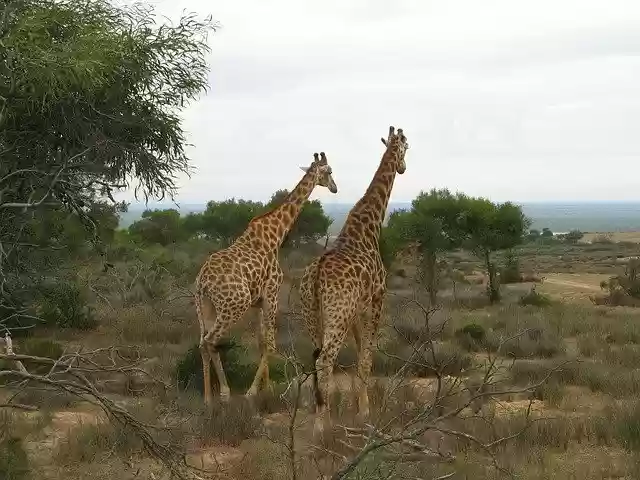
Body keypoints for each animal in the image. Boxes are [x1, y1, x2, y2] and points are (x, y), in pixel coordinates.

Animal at [195, 152, 338, 406]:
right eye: (329, 171)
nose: (335, 188)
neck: (276, 235)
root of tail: (202, 281)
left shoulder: (259, 301)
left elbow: (262, 343)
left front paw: (267, 387)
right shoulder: (272, 294)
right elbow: (270, 344)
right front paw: (252, 392)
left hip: (205, 306)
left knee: (202, 343)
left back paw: (208, 398)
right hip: (233, 305)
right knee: (210, 341)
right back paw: (225, 393)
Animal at [299, 126, 409, 434]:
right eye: (407, 147)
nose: (403, 167)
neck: (369, 227)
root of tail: (316, 274)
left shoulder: (357, 309)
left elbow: (361, 354)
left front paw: (360, 407)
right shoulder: (378, 296)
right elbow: (368, 355)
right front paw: (365, 413)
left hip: (313, 315)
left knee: (315, 357)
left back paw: (321, 413)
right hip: (337, 315)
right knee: (325, 360)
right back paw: (321, 426)